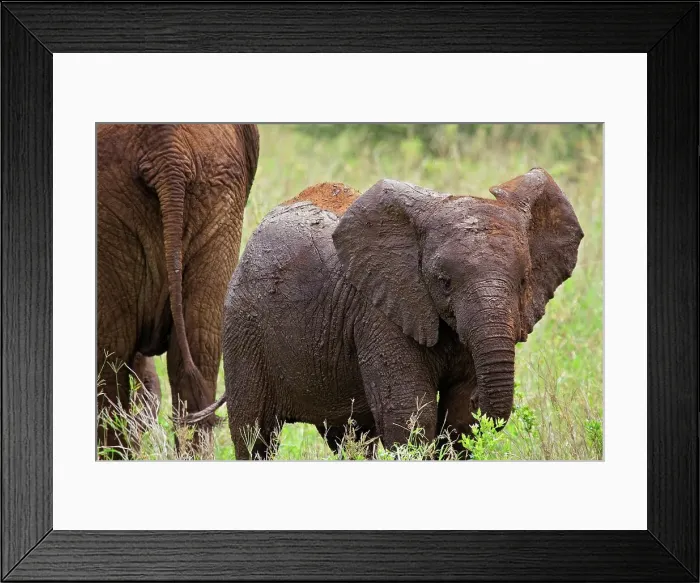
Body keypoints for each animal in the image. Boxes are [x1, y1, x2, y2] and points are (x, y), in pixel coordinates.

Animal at [188, 171, 583, 459]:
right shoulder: (379, 315)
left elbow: (459, 422)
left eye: (524, 280)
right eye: (443, 282)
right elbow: (409, 417)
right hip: (242, 329)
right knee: (254, 435)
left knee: (350, 437)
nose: (482, 397)